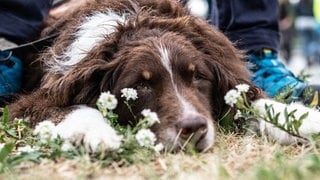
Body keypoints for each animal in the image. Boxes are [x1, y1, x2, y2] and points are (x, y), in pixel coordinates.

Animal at [8, 0, 320, 152]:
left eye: (198, 77)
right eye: (141, 85)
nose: (193, 128)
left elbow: (253, 104)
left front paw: (306, 120)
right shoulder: (31, 101)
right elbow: (68, 108)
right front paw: (96, 132)